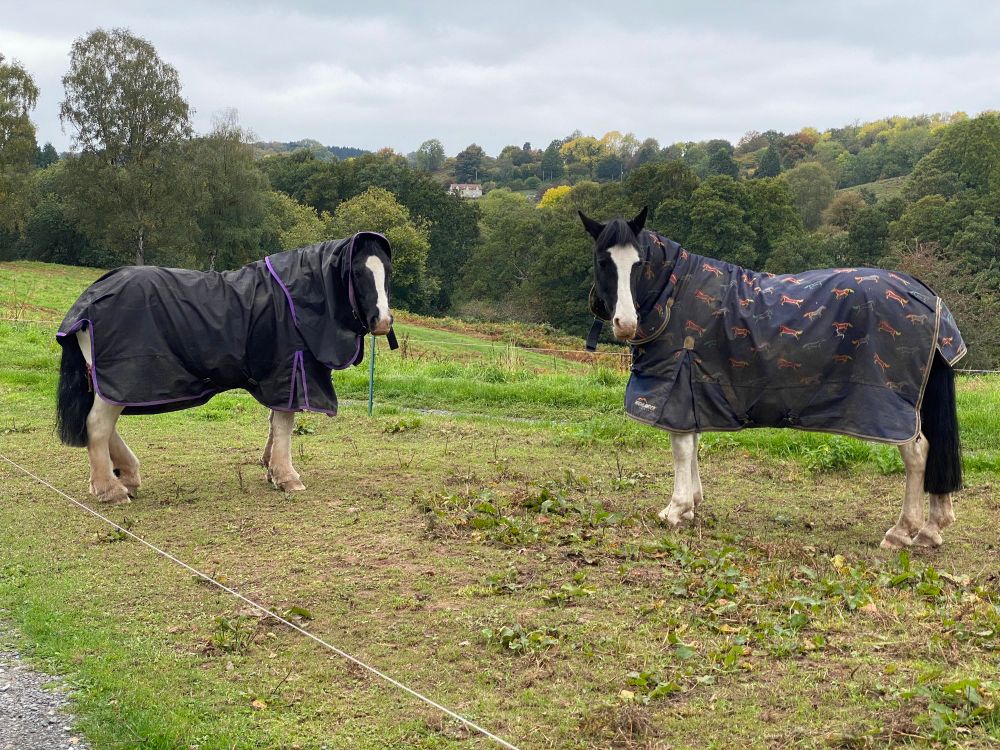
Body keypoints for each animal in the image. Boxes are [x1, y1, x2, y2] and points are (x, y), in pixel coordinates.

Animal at [55, 232, 395, 504]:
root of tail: (88, 302)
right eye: (357, 272)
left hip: (108, 384)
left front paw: (271, 469)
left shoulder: (279, 379)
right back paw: (110, 490)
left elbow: (274, 422)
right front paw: (287, 476)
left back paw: (127, 477)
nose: (383, 321)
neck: (292, 300)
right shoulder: (289, 372)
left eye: (387, 271)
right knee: (98, 425)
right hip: (120, 381)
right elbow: (284, 424)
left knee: (102, 426)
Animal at [580, 208, 966, 549]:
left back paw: (902, 531)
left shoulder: (676, 387)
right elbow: (694, 443)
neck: (677, 292)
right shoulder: (694, 390)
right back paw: (932, 528)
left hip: (893, 408)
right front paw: (692, 504)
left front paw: (676, 509)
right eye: (603, 261)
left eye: (639, 263)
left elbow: (682, 448)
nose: (625, 324)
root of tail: (925, 294)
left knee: (918, 453)